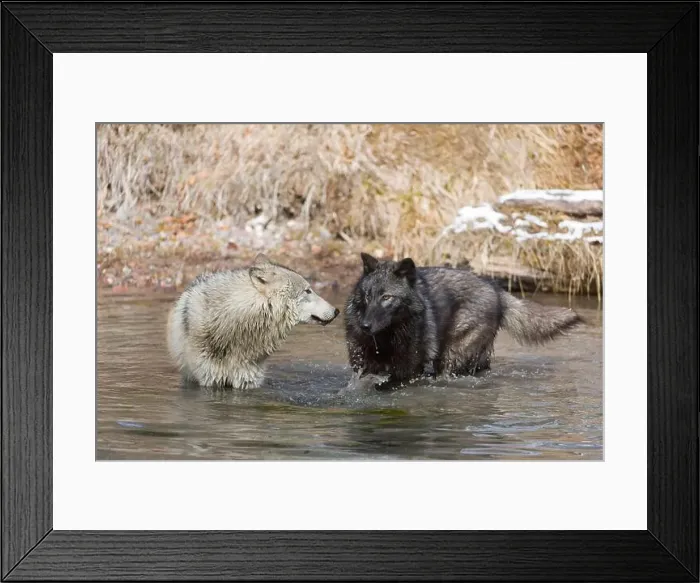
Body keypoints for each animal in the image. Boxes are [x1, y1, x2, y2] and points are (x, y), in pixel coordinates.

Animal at [344, 253, 582, 388]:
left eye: (387, 298)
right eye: (367, 296)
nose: (365, 326)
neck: (385, 339)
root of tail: (495, 290)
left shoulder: (407, 373)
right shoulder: (361, 367)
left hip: (453, 355)